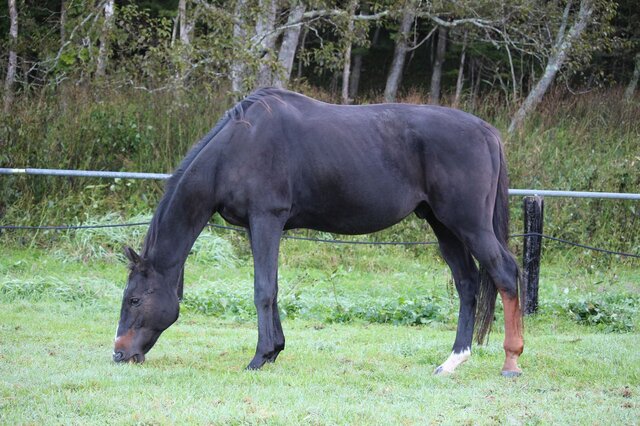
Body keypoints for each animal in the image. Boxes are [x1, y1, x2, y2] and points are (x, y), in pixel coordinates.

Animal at [113, 88, 524, 376]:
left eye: (134, 299)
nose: (119, 353)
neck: (238, 146)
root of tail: (487, 132)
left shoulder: (267, 219)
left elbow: (263, 289)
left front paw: (259, 358)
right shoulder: (260, 226)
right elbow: (273, 288)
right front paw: (275, 350)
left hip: (468, 223)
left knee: (505, 273)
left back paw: (511, 362)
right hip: (443, 225)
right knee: (468, 284)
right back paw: (452, 361)